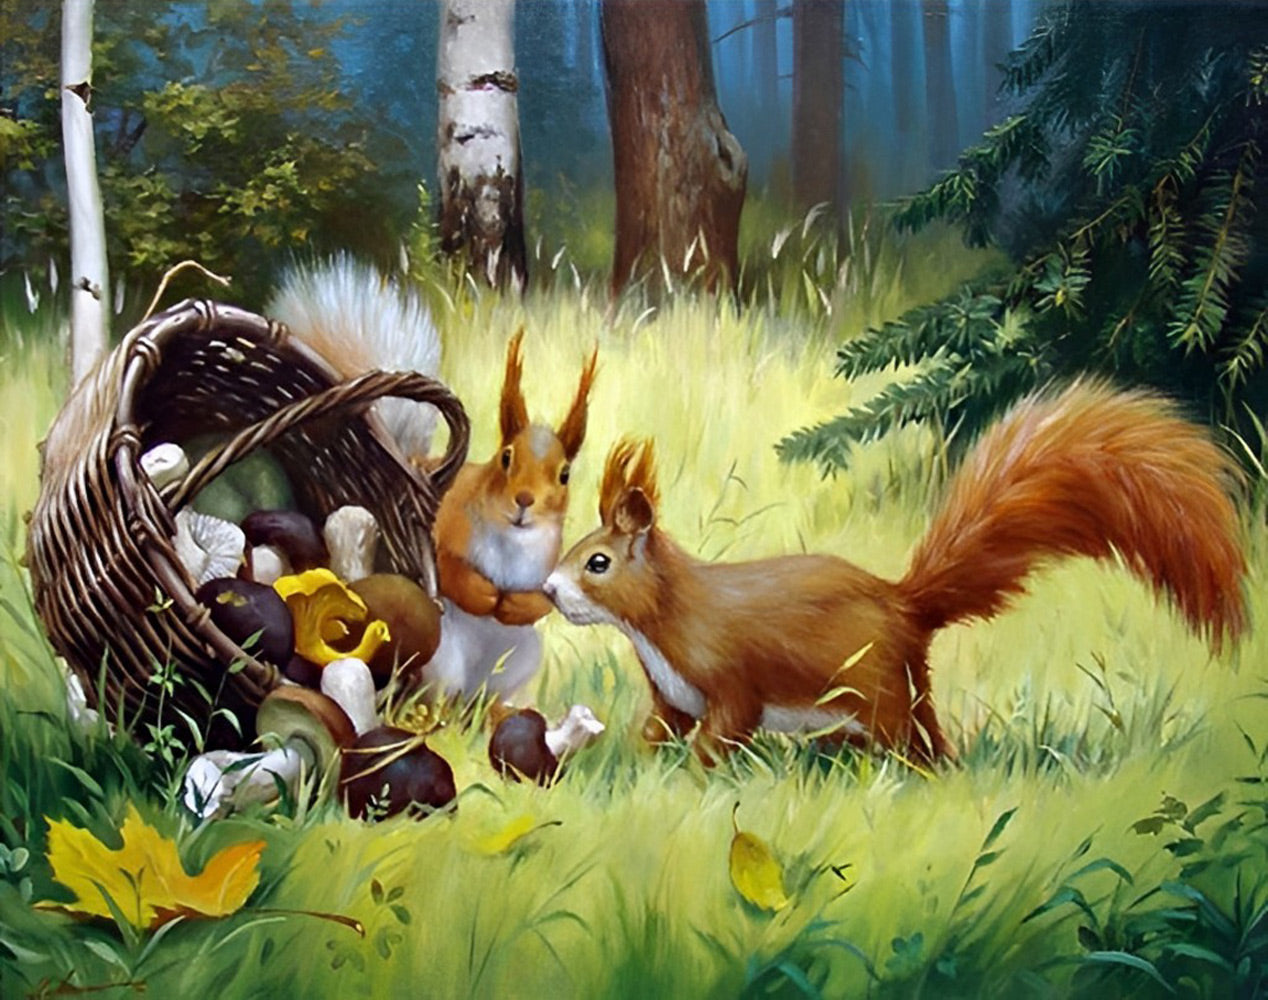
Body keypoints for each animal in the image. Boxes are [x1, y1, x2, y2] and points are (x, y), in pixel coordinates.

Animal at [268, 255, 598, 700]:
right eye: (505, 457)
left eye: (564, 474)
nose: (525, 502)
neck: (511, 536)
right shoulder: (447, 523)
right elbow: (448, 567)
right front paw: (485, 595)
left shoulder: (548, 561)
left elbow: (544, 598)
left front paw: (512, 605)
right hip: (442, 658)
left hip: (520, 660)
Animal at [543, 380, 1248, 764]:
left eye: (598, 562)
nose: (548, 589)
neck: (661, 620)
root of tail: (905, 604)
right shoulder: (673, 697)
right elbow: (658, 729)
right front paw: (636, 764)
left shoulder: (733, 680)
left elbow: (721, 736)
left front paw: (693, 778)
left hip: (882, 690)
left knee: (923, 750)